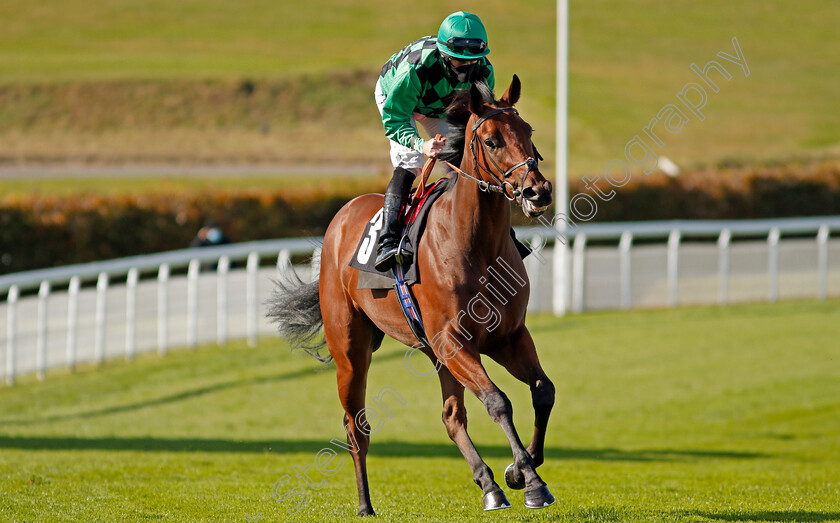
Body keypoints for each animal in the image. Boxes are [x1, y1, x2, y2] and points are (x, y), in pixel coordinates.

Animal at [270, 75, 556, 516]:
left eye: (529, 132)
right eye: (491, 140)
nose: (538, 191)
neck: (473, 244)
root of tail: (341, 218)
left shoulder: (506, 336)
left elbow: (542, 391)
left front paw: (516, 472)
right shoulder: (453, 340)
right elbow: (498, 401)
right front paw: (531, 481)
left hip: (434, 352)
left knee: (452, 415)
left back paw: (490, 485)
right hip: (352, 351)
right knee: (356, 426)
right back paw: (365, 505)